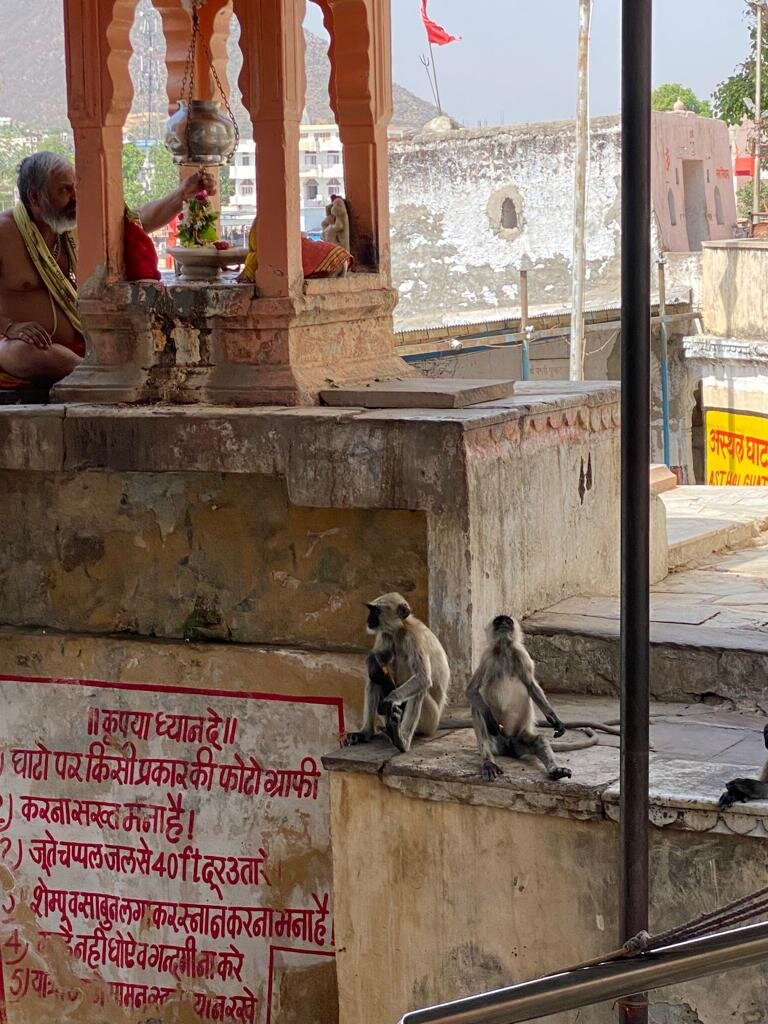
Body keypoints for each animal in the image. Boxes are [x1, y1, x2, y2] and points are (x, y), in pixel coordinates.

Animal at [344, 593, 450, 753]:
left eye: (375, 611)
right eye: (371, 610)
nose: (368, 619)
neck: (402, 628)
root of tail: (437, 723)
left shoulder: (413, 637)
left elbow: (423, 678)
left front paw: (390, 699)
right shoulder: (387, 634)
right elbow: (379, 658)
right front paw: (375, 663)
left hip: (431, 720)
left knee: (420, 689)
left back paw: (402, 741)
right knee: (374, 679)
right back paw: (366, 733)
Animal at [468, 614, 577, 782]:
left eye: (507, 621)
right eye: (498, 621)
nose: (503, 623)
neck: (505, 650)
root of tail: (507, 746)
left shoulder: (521, 655)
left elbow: (531, 686)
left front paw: (555, 719)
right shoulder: (487, 657)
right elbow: (472, 691)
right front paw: (491, 720)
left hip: (519, 739)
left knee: (539, 740)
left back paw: (556, 770)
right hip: (495, 742)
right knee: (478, 710)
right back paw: (488, 763)